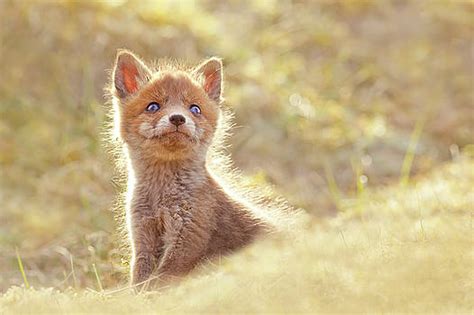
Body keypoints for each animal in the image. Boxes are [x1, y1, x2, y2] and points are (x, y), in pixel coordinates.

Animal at [109, 50, 274, 288]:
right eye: (153, 106)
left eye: (194, 109)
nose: (178, 118)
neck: (160, 199)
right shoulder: (143, 236)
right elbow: (139, 282)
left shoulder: (188, 236)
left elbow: (160, 282)